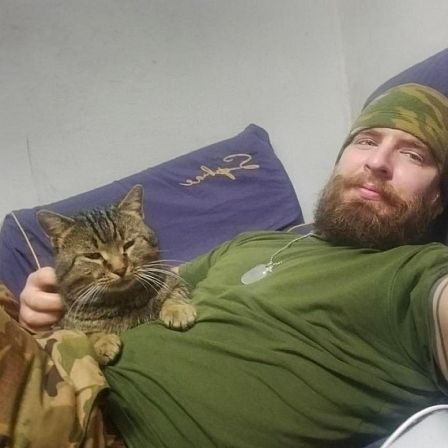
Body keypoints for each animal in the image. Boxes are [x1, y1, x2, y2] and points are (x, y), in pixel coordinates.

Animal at [37, 184, 196, 364]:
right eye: (93, 256)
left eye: (128, 244)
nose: (120, 269)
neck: (124, 301)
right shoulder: (66, 325)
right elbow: (87, 332)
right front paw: (102, 341)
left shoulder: (174, 281)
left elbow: (172, 294)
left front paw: (177, 309)